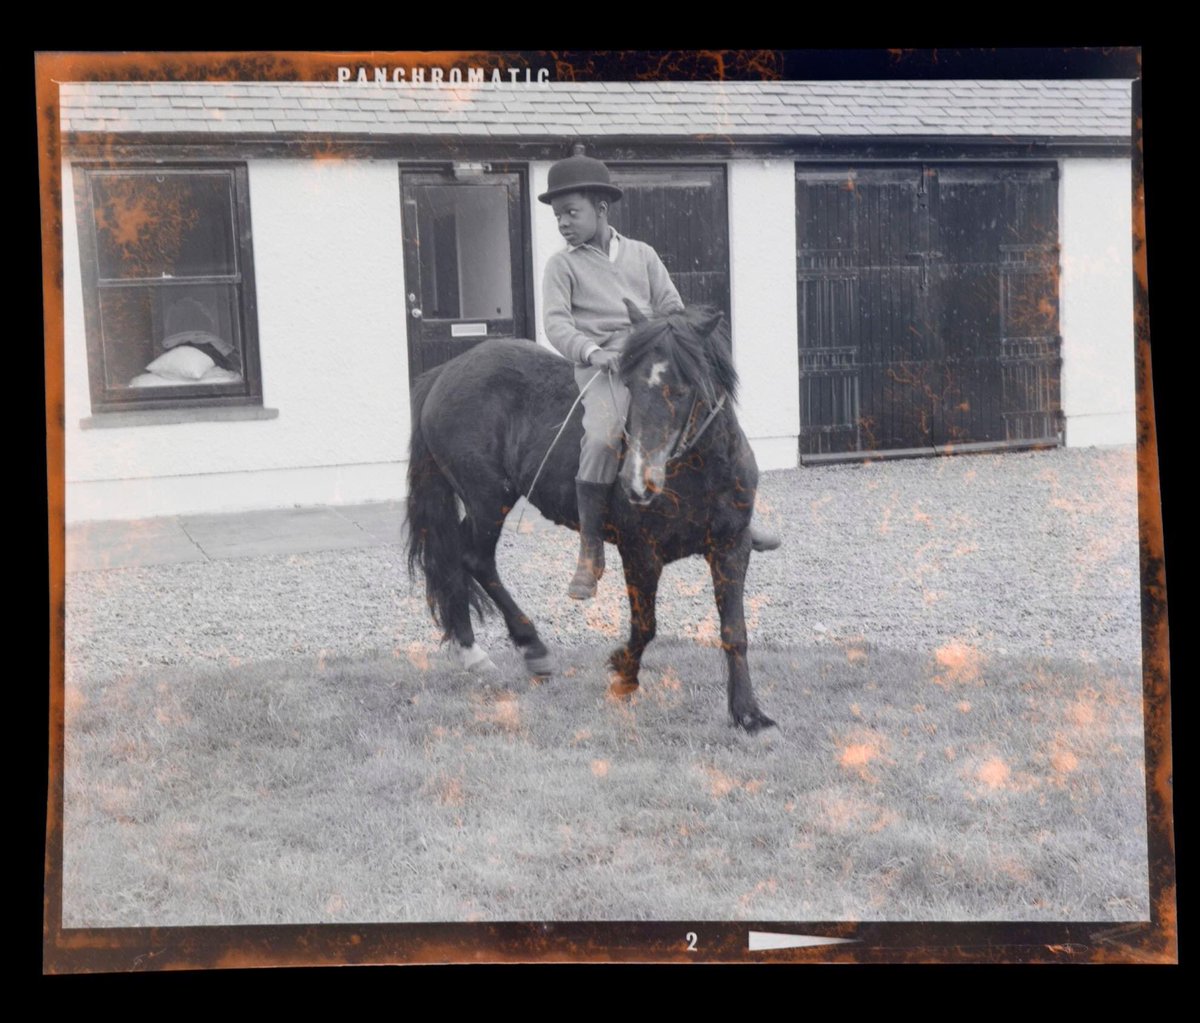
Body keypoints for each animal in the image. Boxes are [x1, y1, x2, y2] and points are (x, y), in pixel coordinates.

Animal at [408, 303, 772, 725]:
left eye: (683, 390)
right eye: (629, 387)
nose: (638, 483)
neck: (698, 474)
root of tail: (443, 374)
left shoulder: (732, 547)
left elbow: (734, 631)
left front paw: (747, 712)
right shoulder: (640, 553)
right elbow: (645, 626)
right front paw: (623, 676)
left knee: (454, 559)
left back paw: (473, 648)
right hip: (487, 498)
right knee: (474, 559)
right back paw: (525, 648)